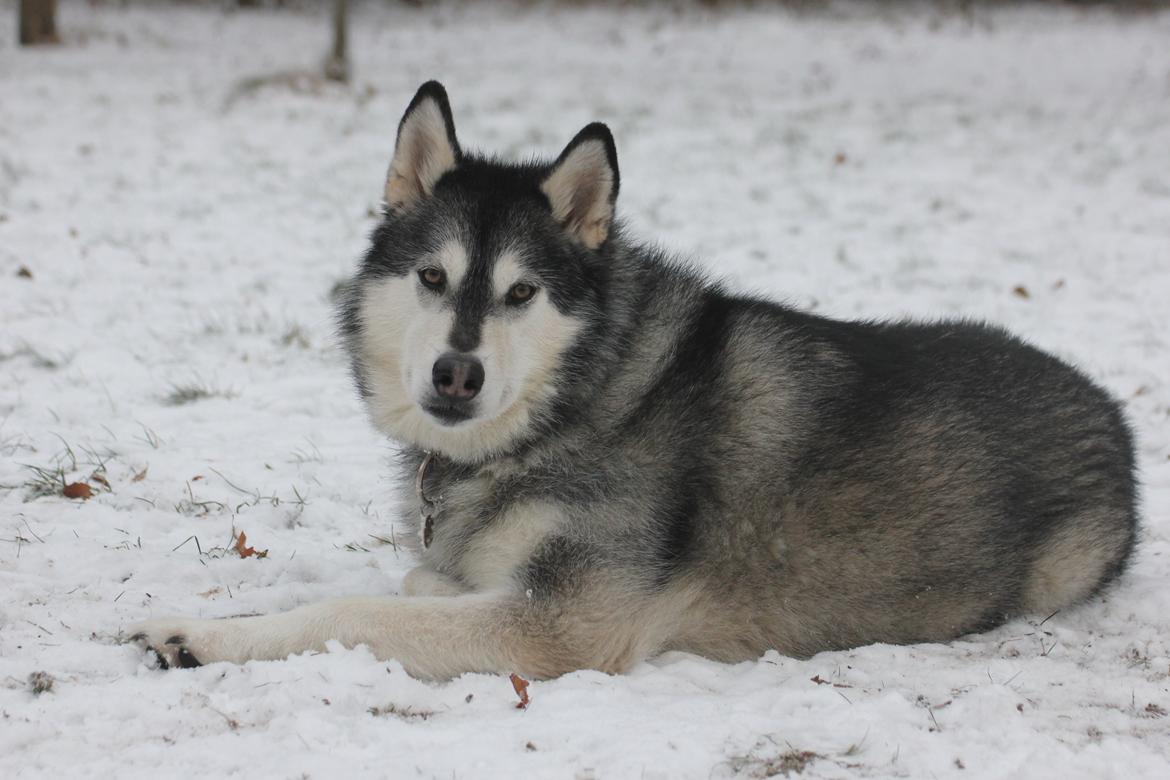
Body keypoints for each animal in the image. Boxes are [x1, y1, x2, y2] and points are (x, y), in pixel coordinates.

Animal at [125, 77, 1132, 678]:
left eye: (521, 292)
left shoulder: (559, 629)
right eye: (433, 277)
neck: (577, 406)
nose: (457, 374)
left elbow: (354, 609)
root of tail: (1110, 408)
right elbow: (400, 583)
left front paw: (203, 637)